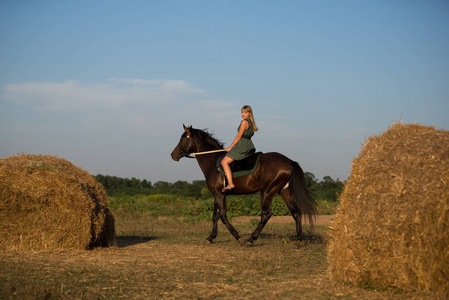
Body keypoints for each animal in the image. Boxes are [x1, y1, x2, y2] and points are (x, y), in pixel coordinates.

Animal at [171, 125, 316, 245]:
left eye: (182, 139)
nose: (173, 155)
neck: (212, 162)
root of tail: (289, 161)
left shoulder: (219, 194)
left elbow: (222, 216)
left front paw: (238, 237)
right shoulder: (217, 194)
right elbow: (215, 215)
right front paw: (210, 237)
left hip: (267, 192)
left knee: (266, 214)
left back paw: (251, 239)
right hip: (284, 191)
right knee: (296, 212)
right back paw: (299, 240)